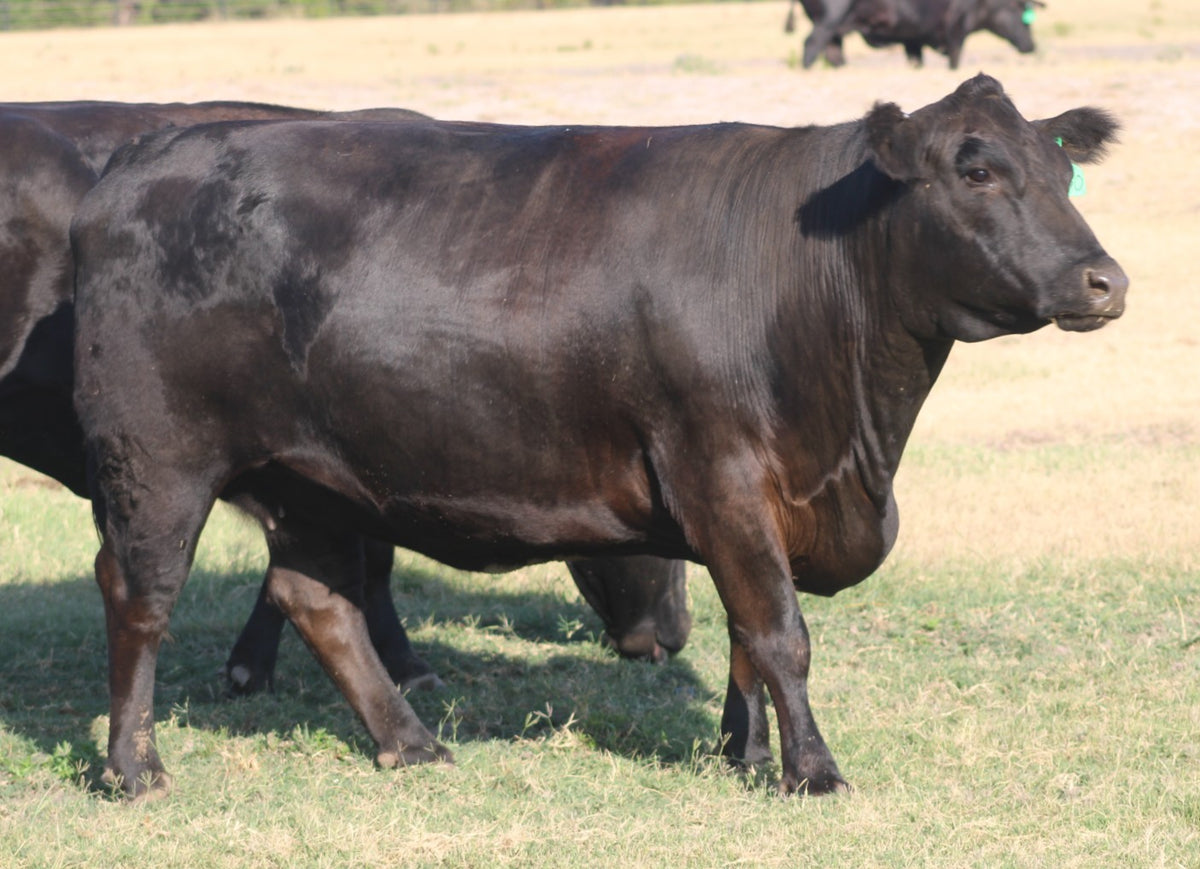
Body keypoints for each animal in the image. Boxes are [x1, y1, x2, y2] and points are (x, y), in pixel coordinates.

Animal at [71, 74, 1126, 799]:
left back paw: (412, 743)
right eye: (977, 170)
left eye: (1061, 169)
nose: (1106, 279)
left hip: (314, 475)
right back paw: (133, 767)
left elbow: (744, 631)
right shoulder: (719, 469)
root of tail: (145, 158)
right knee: (139, 597)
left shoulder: (747, 503)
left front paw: (742, 751)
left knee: (316, 597)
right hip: (159, 461)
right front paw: (812, 769)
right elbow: (779, 632)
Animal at [784, 0, 1040, 69]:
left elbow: (916, 58)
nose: (1032, 46)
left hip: (834, 29)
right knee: (811, 44)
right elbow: (955, 57)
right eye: (1023, 15)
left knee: (833, 51)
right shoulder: (956, 27)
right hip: (827, 20)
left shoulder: (913, 38)